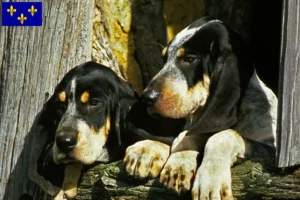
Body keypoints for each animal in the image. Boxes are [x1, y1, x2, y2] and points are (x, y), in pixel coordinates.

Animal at [123, 16, 278, 199]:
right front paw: (172, 158)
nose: (147, 98)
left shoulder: (272, 150)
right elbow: (187, 135)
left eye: (190, 59)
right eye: (164, 59)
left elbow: (223, 135)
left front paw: (210, 180)